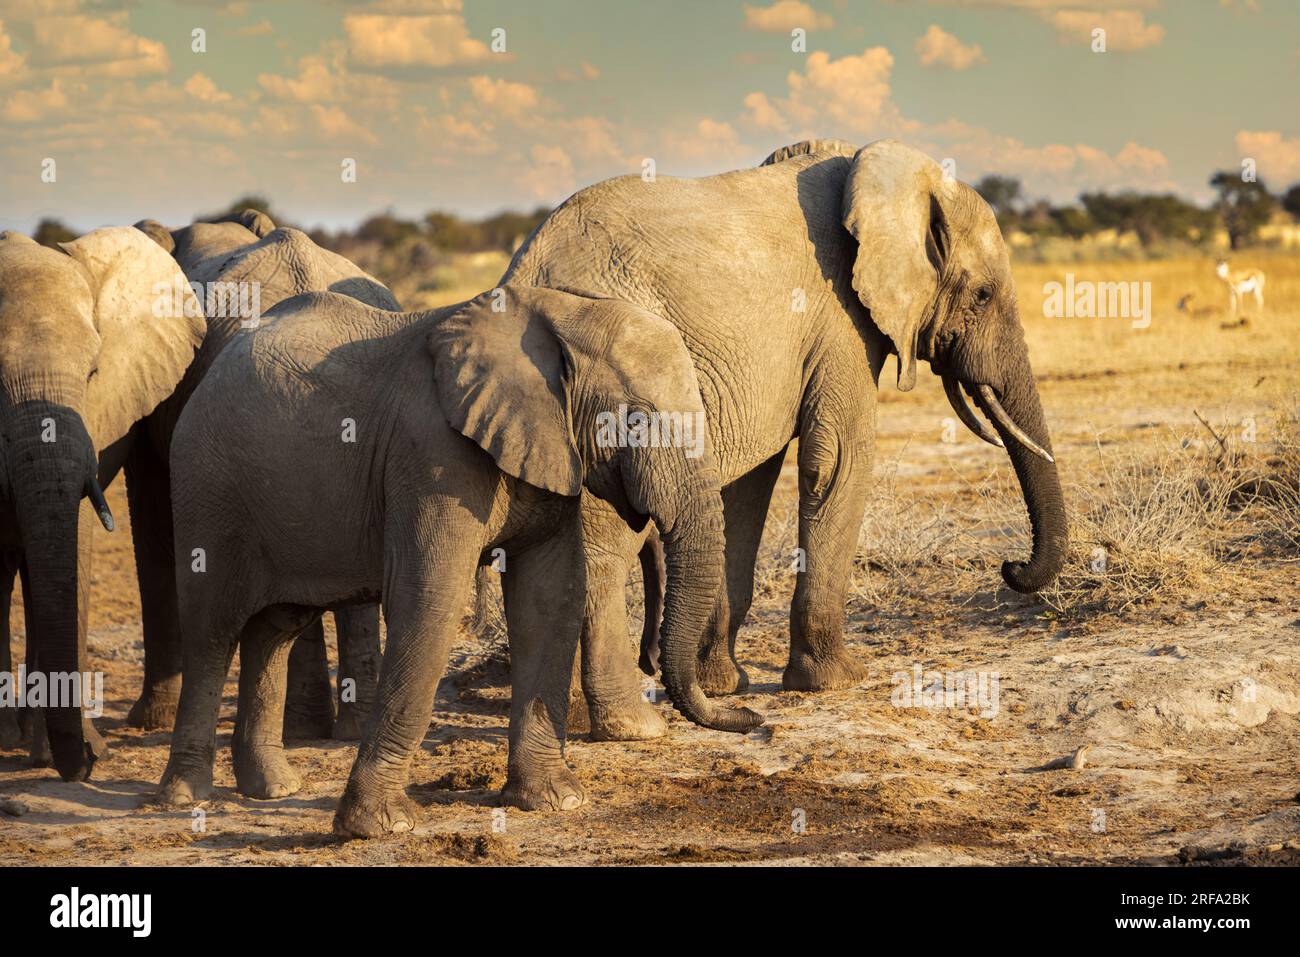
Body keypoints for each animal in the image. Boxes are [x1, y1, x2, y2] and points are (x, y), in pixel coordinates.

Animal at [156, 284, 755, 838]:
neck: (558, 312)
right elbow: (430, 602)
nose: (750, 715)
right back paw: (185, 797)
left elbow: (550, 599)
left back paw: (272, 789)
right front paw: (380, 827)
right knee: (212, 630)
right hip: (206, 485)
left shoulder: (548, 450)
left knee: (275, 628)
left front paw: (555, 801)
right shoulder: (431, 456)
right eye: (634, 422)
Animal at [503, 138, 1067, 710]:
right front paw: (837, 680)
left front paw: (721, 684)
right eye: (983, 295)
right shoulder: (841, 318)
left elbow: (747, 485)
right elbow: (837, 460)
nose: (1011, 568)